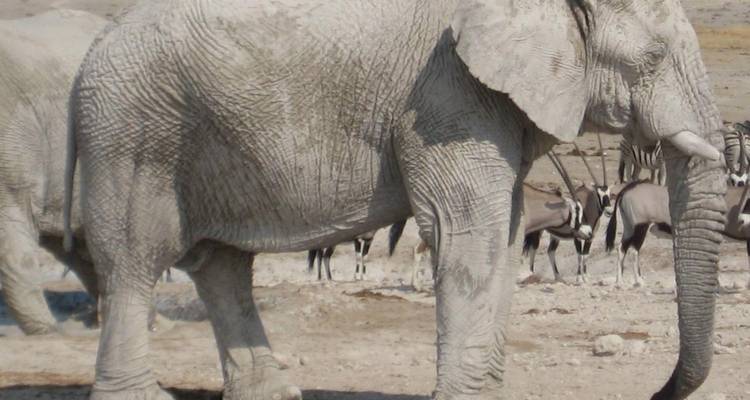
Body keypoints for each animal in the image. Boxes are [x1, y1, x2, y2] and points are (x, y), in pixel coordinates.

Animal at [65, 1, 727, 399]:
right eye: (654, 57)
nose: (654, 391)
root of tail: (94, 46)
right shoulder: (446, 95)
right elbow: (470, 235)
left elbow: (506, 234)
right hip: (135, 133)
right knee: (135, 259)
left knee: (221, 267)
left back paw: (272, 391)